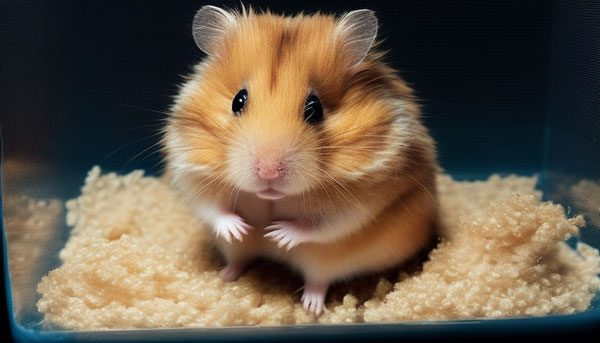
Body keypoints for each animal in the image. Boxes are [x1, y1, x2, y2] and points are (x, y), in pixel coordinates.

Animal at [162, 6, 438, 318]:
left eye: (315, 108)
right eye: (238, 100)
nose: (268, 171)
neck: (271, 197)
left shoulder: (365, 202)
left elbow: (324, 225)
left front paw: (276, 234)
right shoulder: (190, 175)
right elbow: (213, 209)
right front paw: (243, 228)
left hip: (327, 261)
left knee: (319, 279)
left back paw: (311, 306)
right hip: (237, 250)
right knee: (240, 257)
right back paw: (226, 276)